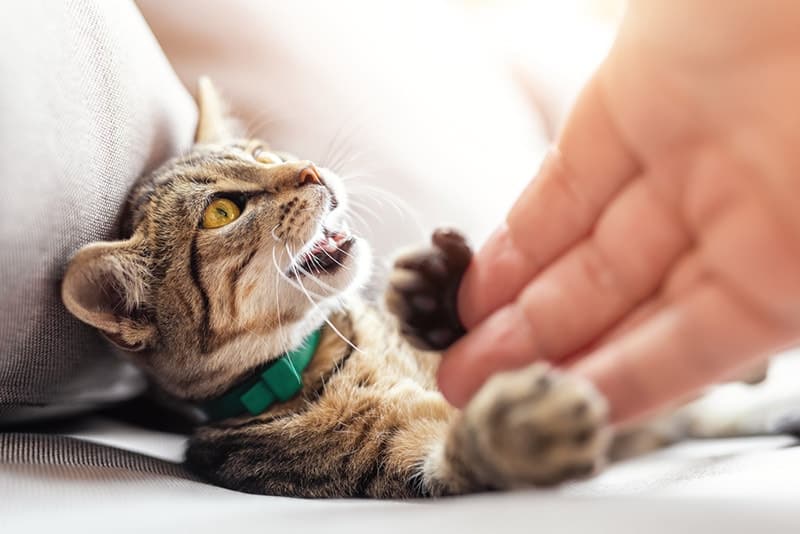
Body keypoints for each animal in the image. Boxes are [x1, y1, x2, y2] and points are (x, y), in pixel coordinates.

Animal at [57, 77, 792, 500]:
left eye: (265, 153)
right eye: (221, 212)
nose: (311, 169)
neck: (329, 356)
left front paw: (441, 297)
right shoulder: (401, 464)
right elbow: (461, 454)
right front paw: (520, 429)